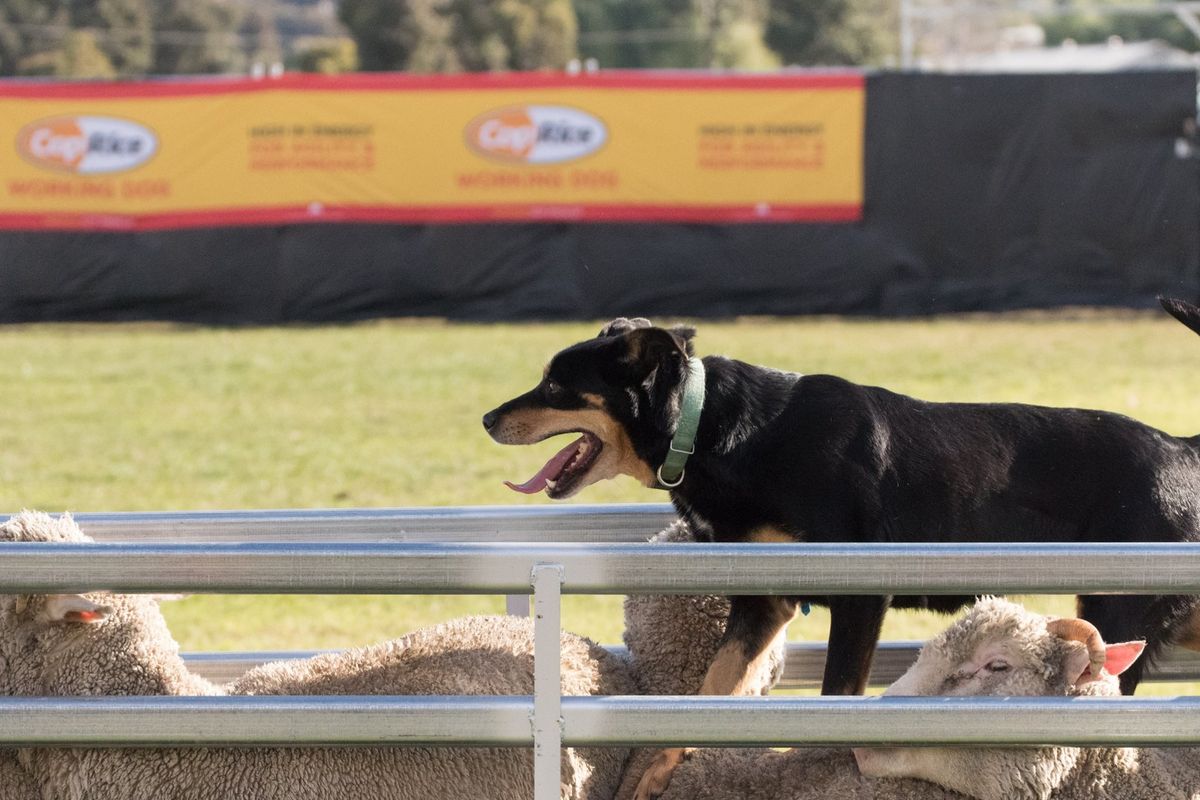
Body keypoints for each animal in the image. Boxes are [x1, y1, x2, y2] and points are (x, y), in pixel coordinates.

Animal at [482, 298, 1200, 796]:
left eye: (554, 386)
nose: (488, 418)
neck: (718, 430)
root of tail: (1180, 445)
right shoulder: (763, 603)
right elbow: (708, 694)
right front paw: (658, 775)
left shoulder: (859, 596)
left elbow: (832, 703)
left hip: (1118, 617)